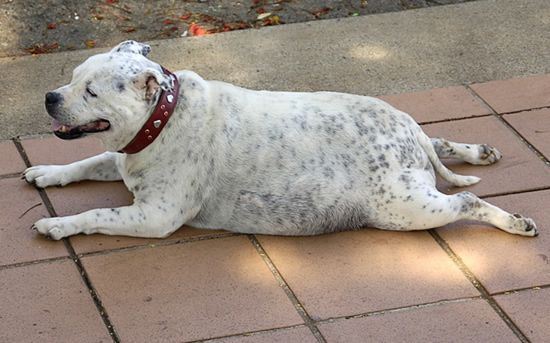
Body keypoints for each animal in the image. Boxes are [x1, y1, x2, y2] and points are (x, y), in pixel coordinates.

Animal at [24, 39, 540, 239]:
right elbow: (82, 165)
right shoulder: (119, 157)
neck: (161, 118)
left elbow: (98, 213)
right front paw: (47, 173)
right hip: (416, 173)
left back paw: (515, 222)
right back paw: (479, 151)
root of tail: (405, 130)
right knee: (442, 142)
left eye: (91, 91)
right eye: (71, 76)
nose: (49, 97)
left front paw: (58, 225)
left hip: (407, 209)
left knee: (467, 202)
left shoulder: (155, 216)